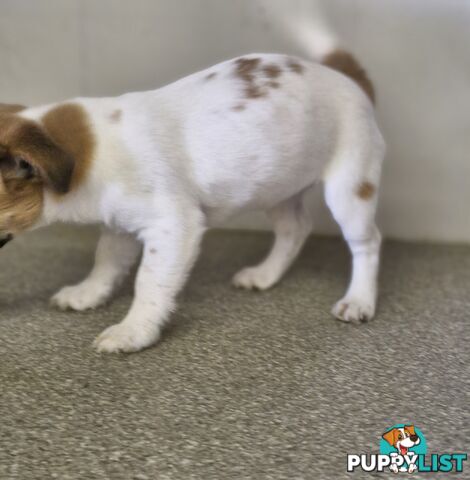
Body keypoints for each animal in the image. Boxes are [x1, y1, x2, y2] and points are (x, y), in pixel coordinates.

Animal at [0, 38, 384, 352]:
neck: (88, 153)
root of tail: (348, 79)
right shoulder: (120, 226)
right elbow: (105, 262)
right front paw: (87, 293)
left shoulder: (172, 226)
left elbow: (148, 282)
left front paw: (134, 331)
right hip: (276, 187)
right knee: (295, 228)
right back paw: (265, 275)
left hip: (349, 188)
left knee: (367, 243)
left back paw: (359, 300)